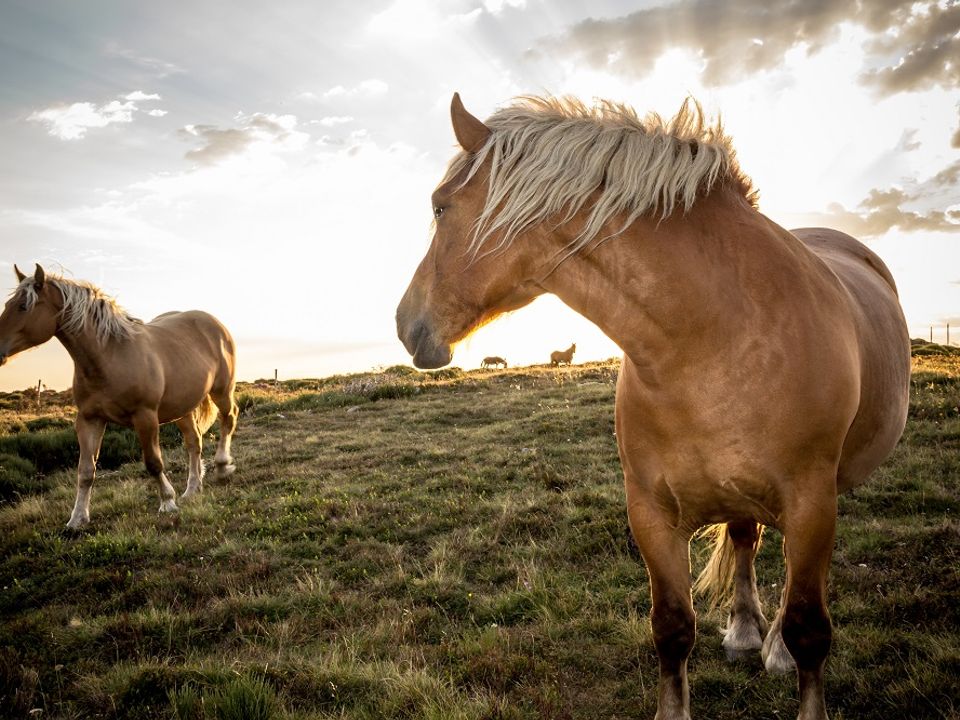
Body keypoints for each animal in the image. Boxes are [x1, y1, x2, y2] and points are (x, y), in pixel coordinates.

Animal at [0, 264, 240, 528]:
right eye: (7, 305)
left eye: (23, 306)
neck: (109, 356)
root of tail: (214, 323)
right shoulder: (89, 420)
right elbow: (85, 471)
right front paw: (77, 518)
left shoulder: (145, 417)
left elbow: (153, 462)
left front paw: (167, 501)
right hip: (182, 407)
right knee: (194, 442)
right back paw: (193, 488)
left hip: (221, 390)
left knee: (229, 419)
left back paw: (222, 466)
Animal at [396, 95, 908, 720]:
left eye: (440, 207)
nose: (404, 323)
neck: (712, 341)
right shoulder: (650, 513)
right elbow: (671, 627)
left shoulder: (811, 502)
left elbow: (810, 628)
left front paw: (793, 658)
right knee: (745, 538)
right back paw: (745, 631)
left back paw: (773, 645)